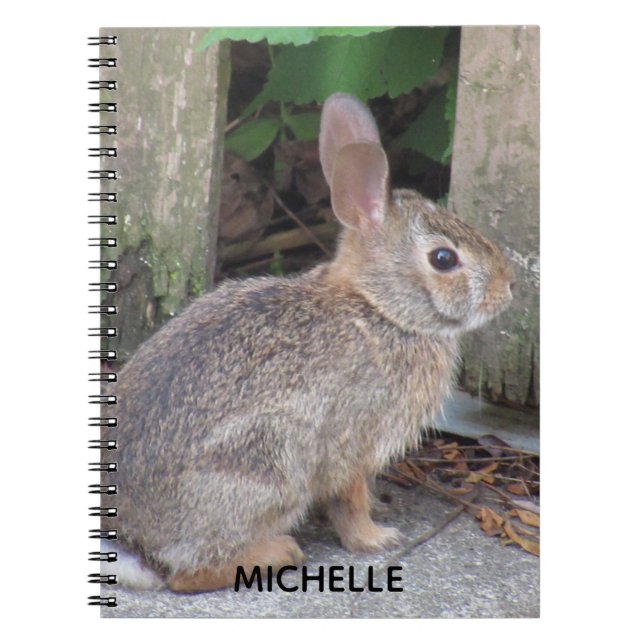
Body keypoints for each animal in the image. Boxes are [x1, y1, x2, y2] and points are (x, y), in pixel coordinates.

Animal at [103, 92, 515, 593]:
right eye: (443, 258)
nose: (509, 287)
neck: (380, 308)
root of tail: (133, 539)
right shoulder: (353, 443)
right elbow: (349, 502)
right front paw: (376, 538)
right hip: (268, 466)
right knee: (187, 573)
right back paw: (278, 552)